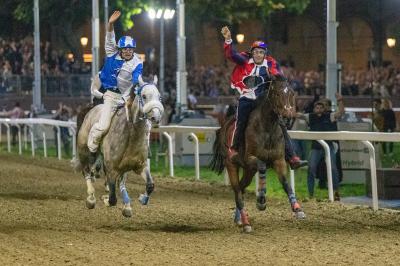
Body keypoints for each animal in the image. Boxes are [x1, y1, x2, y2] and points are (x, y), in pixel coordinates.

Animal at [74, 76, 163, 217]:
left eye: (159, 97)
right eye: (144, 96)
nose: (156, 116)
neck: (131, 135)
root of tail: (90, 111)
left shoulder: (140, 165)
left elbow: (150, 185)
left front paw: (141, 199)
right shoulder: (111, 167)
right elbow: (112, 199)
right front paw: (104, 199)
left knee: (121, 181)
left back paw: (126, 205)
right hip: (85, 152)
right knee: (87, 171)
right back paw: (91, 198)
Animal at [211, 80, 304, 232]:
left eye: (292, 93)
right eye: (276, 94)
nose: (288, 115)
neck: (267, 128)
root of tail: (225, 125)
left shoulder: (278, 160)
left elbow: (285, 183)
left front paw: (297, 209)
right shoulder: (250, 159)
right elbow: (262, 167)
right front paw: (261, 200)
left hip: (248, 170)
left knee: (242, 188)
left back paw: (239, 219)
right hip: (232, 164)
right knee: (237, 191)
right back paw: (246, 223)